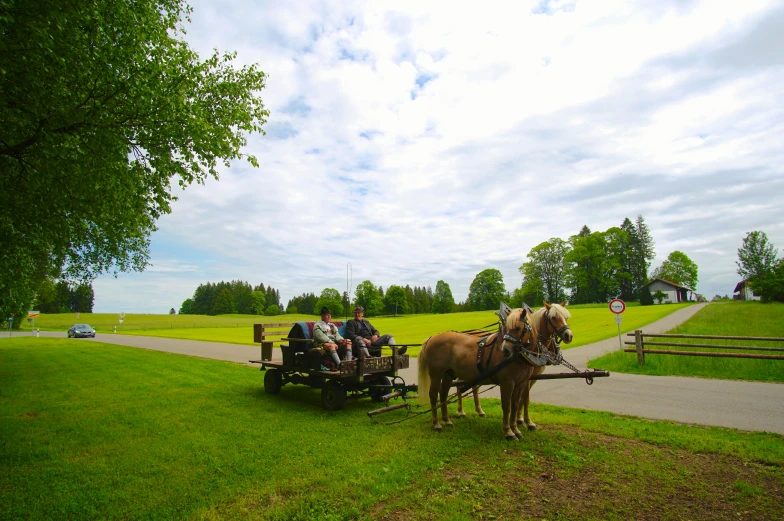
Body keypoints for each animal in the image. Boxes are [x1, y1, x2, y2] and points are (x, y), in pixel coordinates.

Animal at [420, 306, 544, 440]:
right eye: (506, 328)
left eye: (518, 328)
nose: (505, 350)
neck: (518, 357)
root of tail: (431, 338)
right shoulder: (507, 383)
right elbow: (506, 406)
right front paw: (508, 431)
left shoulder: (521, 383)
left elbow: (515, 406)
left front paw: (515, 430)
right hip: (436, 374)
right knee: (433, 395)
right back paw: (437, 424)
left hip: (448, 374)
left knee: (443, 394)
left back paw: (447, 420)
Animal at [454, 300, 576, 430]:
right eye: (553, 317)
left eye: (566, 317)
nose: (569, 335)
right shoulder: (526, 378)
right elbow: (526, 399)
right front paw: (527, 421)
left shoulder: (530, 377)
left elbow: (521, 399)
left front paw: (519, 418)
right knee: (459, 384)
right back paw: (461, 411)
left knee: (472, 386)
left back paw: (479, 410)